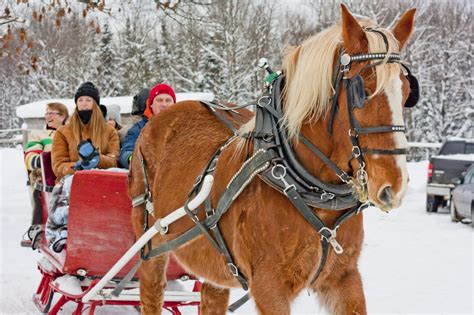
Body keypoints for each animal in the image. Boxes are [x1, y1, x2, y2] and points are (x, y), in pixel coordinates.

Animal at [128, 4, 416, 315]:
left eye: (407, 91)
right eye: (362, 91)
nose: (394, 186)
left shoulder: (344, 277)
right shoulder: (269, 286)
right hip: (151, 245)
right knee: (152, 292)